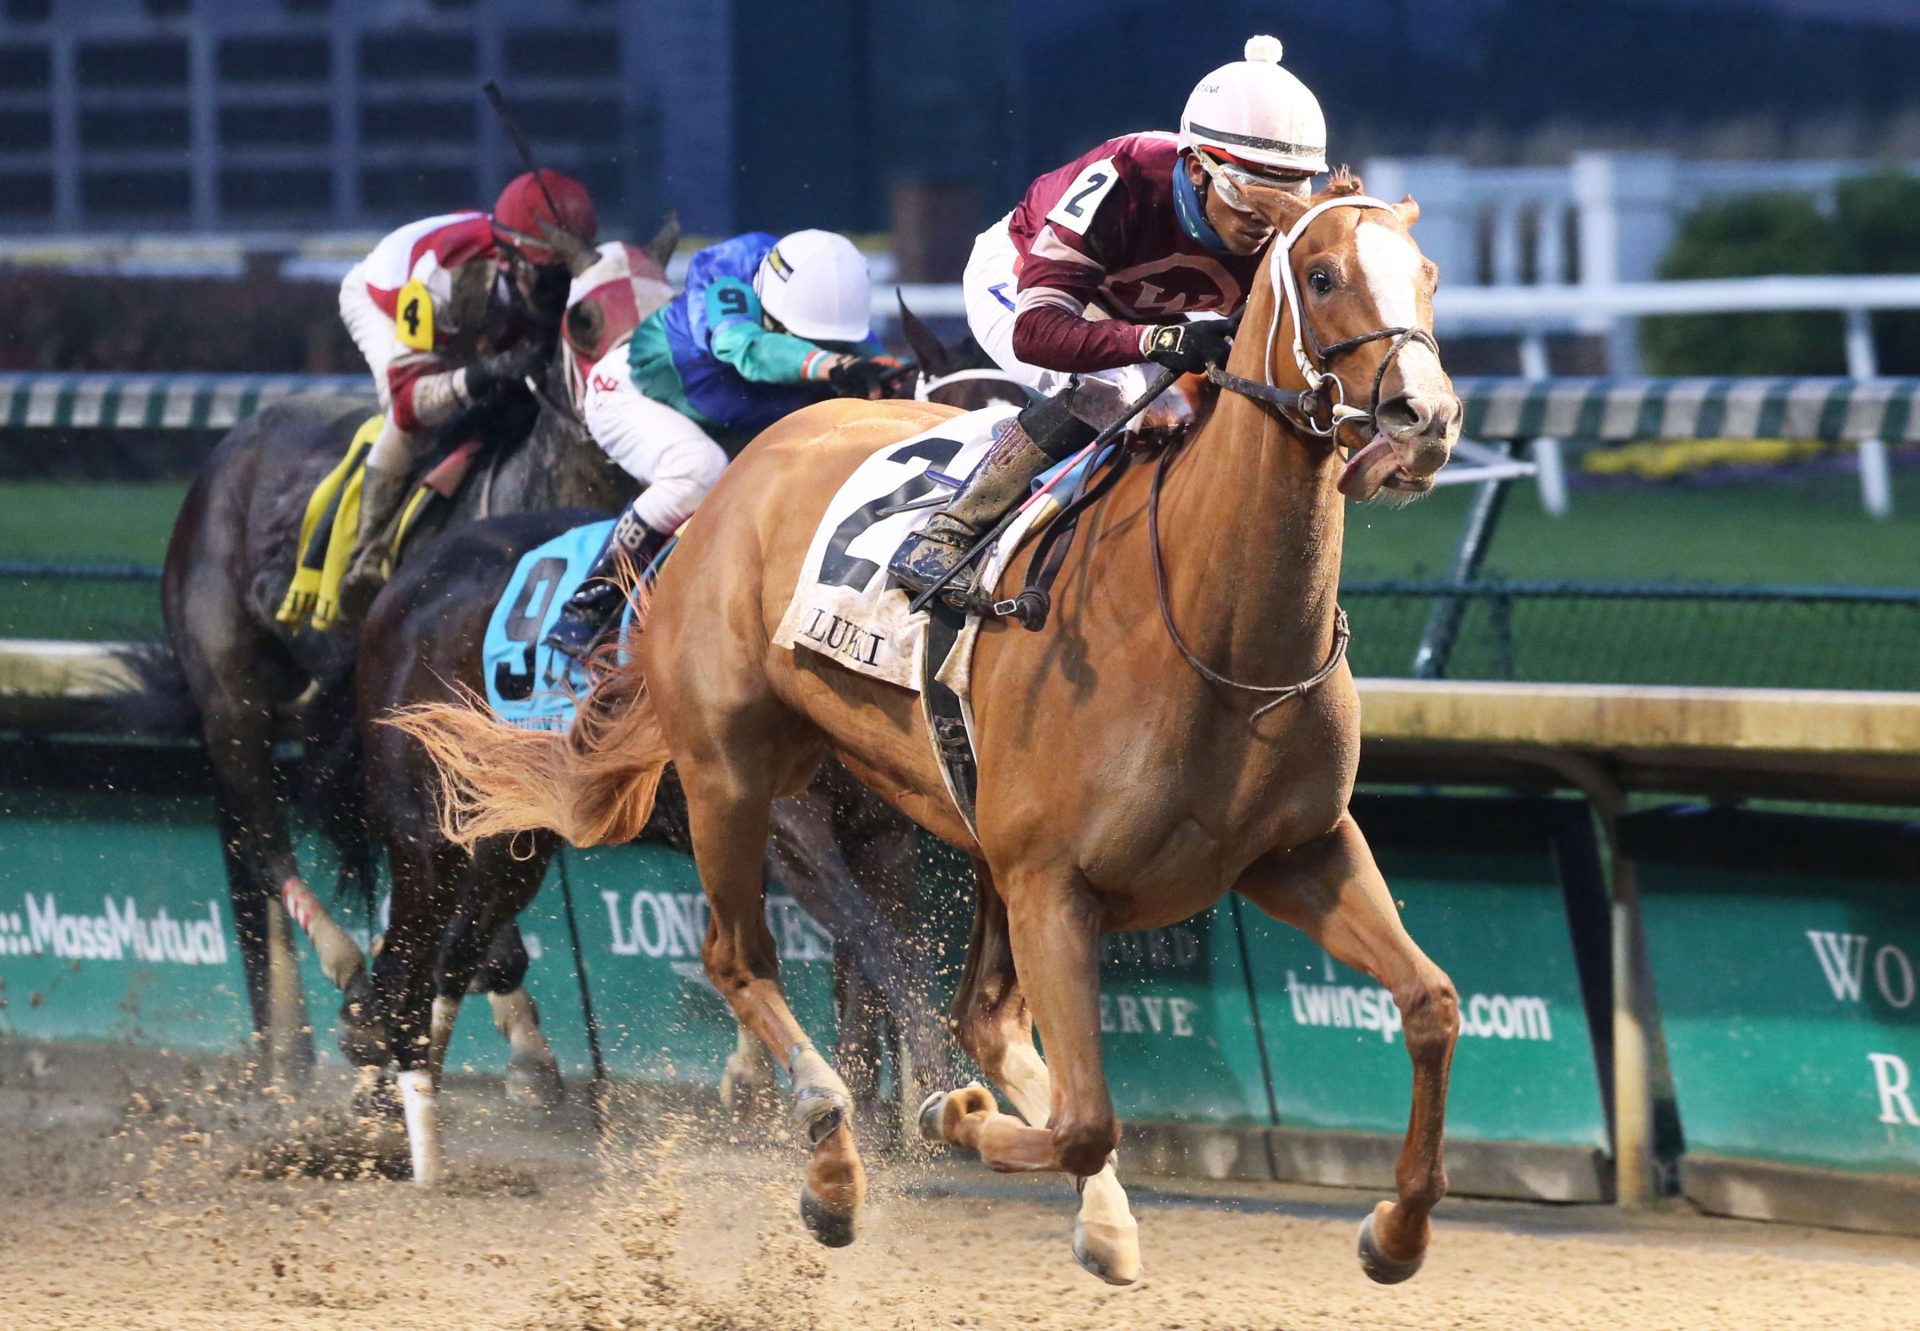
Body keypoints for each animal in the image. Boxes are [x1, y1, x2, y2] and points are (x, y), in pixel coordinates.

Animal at [397, 179, 1459, 1290]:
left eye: (1429, 275)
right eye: (1324, 275)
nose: (1424, 417)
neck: (1209, 621)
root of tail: (740, 477)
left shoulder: (1297, 850)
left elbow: (1431, 1004)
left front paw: (1396, 1229)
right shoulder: (1050, 881)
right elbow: (1078, 1116)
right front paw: (947, 1115)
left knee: (979, 1013)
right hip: (734, 776)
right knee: (741, 958)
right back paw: (832, 1162)